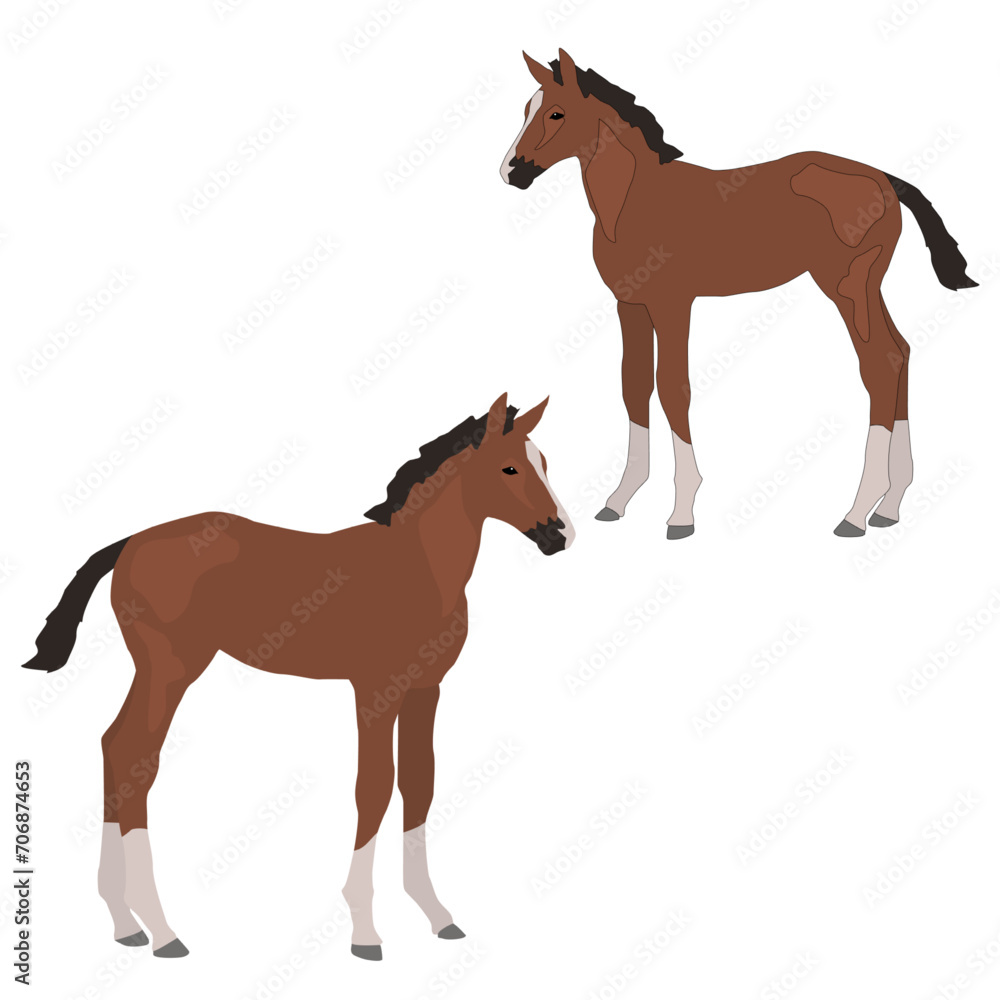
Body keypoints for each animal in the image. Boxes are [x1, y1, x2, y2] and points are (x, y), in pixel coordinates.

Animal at [22, 393, 574, 961]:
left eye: (546, 463)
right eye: (509, 468)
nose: (559, 535)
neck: (416, 566)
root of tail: (131, 541)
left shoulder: (426, 689)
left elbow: (420, 784)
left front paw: (437, 915)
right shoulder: (375, 689)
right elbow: (374, 787)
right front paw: (365, 931)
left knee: (114, 747)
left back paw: (124, 923)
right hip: (171, 668)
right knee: (135, 754)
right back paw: (163, 931)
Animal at [500, 49, 978, 539]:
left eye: (557, 113)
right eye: (525, 110)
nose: (512, 171)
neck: (636, 201)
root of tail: (884, 178)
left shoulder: (672, 304)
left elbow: (672, 387)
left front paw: (681, 513)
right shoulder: (629, 305)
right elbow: (633, 386)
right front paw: (619, 500)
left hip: (845, 288)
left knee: (880, 364)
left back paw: (856, 513)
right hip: (868, 288)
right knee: (900, 352)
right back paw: (890, 506)